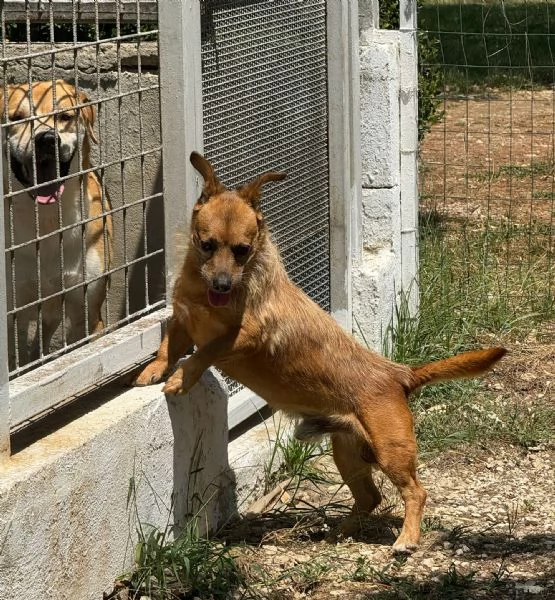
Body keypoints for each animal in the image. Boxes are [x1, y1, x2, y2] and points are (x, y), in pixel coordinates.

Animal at [132, 151, 506, 552]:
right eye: (207, 244)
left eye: (242, 251)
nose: (221, 283)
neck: (209, 295)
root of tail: (400, 373)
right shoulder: (183, 321)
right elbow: (168, 347)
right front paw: (153, 371)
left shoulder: (246, 335)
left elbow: (207, 352)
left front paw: (182, 379)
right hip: (348, 453)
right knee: (370, 497)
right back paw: (340, 531)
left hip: (391, 450)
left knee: (415, 492)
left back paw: (406, 539)